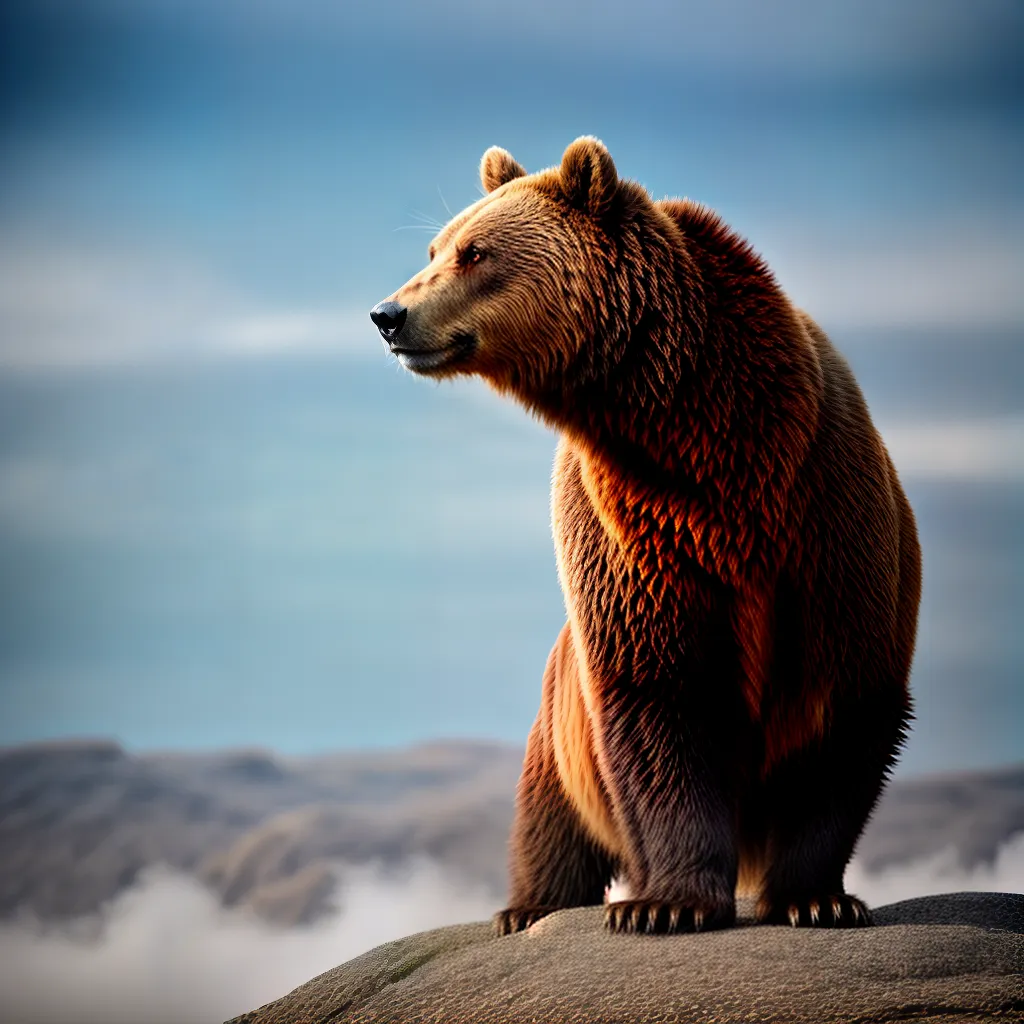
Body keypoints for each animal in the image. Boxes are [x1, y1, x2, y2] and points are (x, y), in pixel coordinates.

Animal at [370, 137, 921, 935]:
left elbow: (845, 707)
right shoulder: (631, 538)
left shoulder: (825, 514)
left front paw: (817, 897)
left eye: (475, 252)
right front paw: (667, 904)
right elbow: (656, 698)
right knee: (550, 816)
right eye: (435, 247)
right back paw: (527, 908)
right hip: (557, 723)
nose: (389, 313)